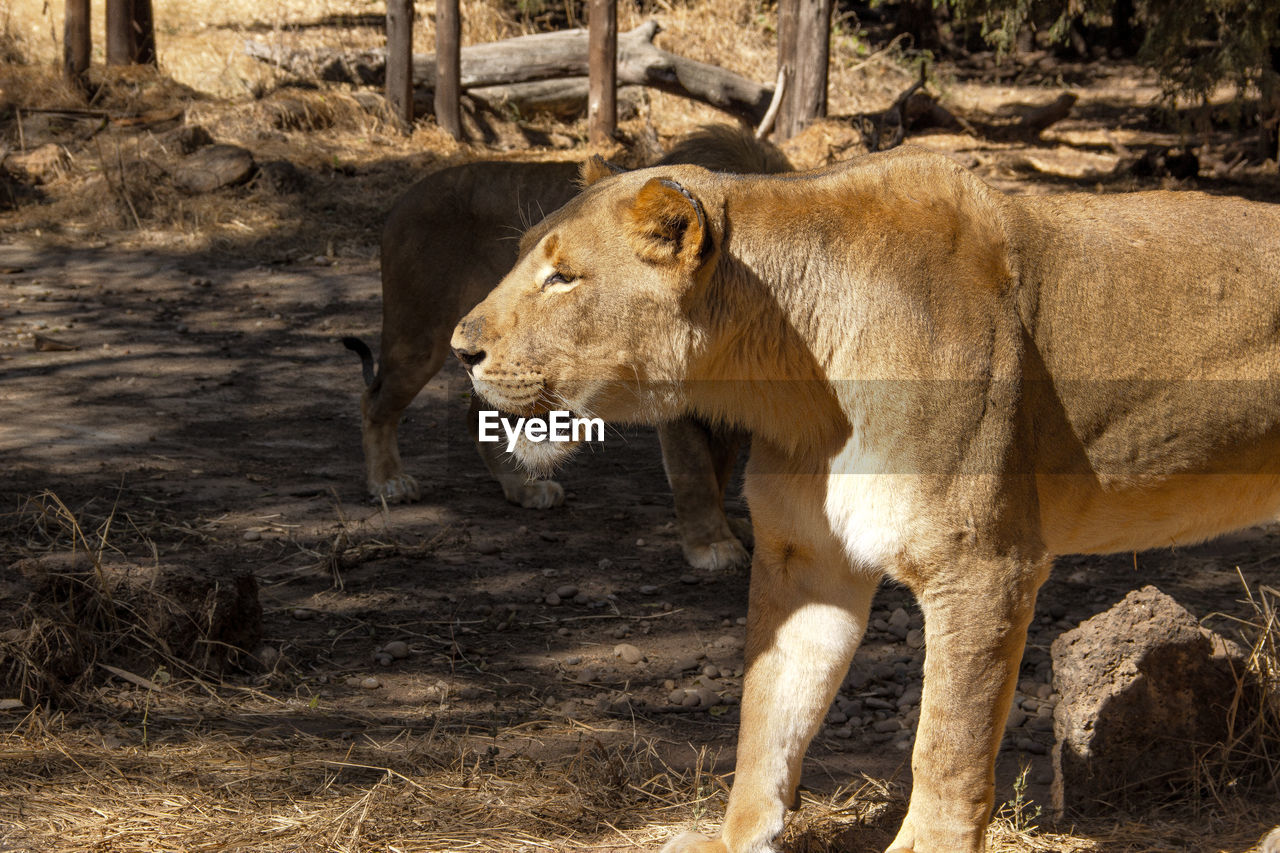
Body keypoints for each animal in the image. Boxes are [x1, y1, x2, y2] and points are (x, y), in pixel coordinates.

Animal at [345, 124, 793, 563]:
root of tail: (406, 197)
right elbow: (695, 468)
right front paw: (711, 545)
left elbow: (720, 464)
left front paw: (729, 528)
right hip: (419, 336)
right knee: (375, 400)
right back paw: (388, 482)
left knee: (478, 413)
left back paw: (522, 487)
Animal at [450, 147, 1280, 850]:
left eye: (563, 277)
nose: (461, 349)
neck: (789, 380)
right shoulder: (806, 556)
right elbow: (768, 710)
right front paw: (734, 835)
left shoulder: (984, 566)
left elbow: (947, 741)